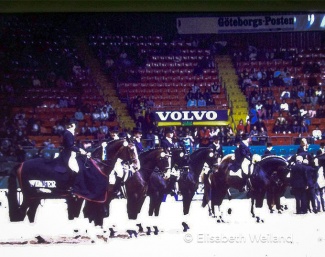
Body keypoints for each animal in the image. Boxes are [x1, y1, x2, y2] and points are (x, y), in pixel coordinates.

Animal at [7, 138, 137, 226]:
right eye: (131, 149)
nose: (136, 166)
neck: (98, 165)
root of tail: (21, 164)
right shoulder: (94, 197)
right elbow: (92, 215)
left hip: (36, 196)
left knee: (30, 214)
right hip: (29, 195)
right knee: (22, 214)